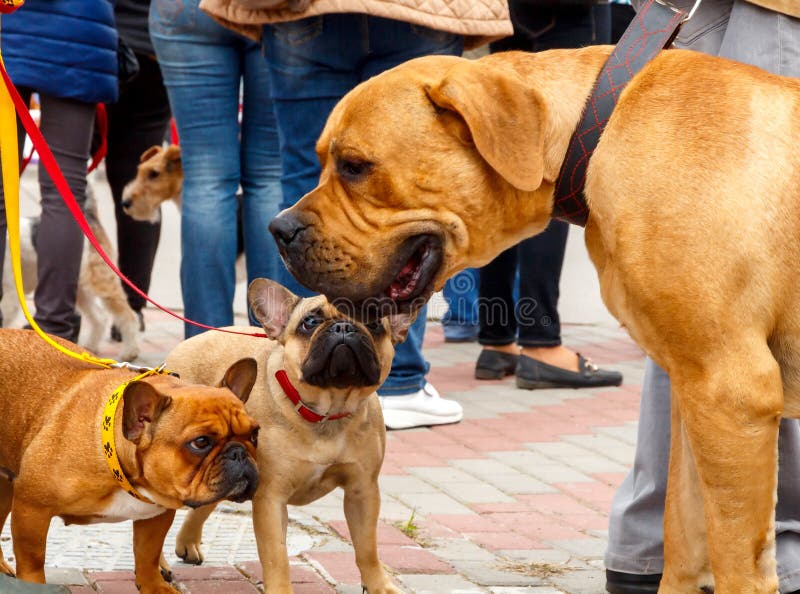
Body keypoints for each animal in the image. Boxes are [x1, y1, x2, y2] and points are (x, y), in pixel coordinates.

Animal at [0, 326, 260, 588]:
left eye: (254, 433)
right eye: (201, 442)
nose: (239, 452)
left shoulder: (157, 513)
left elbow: (147, 554)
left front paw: (155, 587)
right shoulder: (32, 507)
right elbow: (33, 560)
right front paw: (32, 585)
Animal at [166, 278, 404, 592]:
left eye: (374, 323)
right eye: (310, 322)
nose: (344, 326)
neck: (326, 410)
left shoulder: (362, 491)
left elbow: (367, 547)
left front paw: (379, 586)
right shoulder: (271, 498)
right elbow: (276, 555)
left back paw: (188, 543)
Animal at [268, 48, 800, 588]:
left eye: (355, 166)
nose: (278, 229)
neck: (596, 132)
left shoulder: (726, 393)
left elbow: (732, 557)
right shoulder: (695, 391)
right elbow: (681, 533)